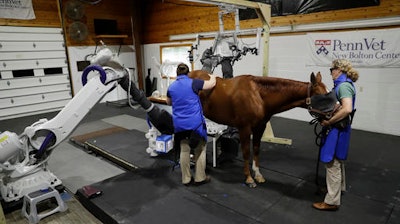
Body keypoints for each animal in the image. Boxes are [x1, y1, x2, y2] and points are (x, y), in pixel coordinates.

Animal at [189, 70, 326, 187]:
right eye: (321, 96)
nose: (331, 115)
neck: (258, 95)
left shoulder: (260, 127)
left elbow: (256, 149)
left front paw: (258, 175)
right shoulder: (244, 128)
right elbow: (246, 152)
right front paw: (249, 178)